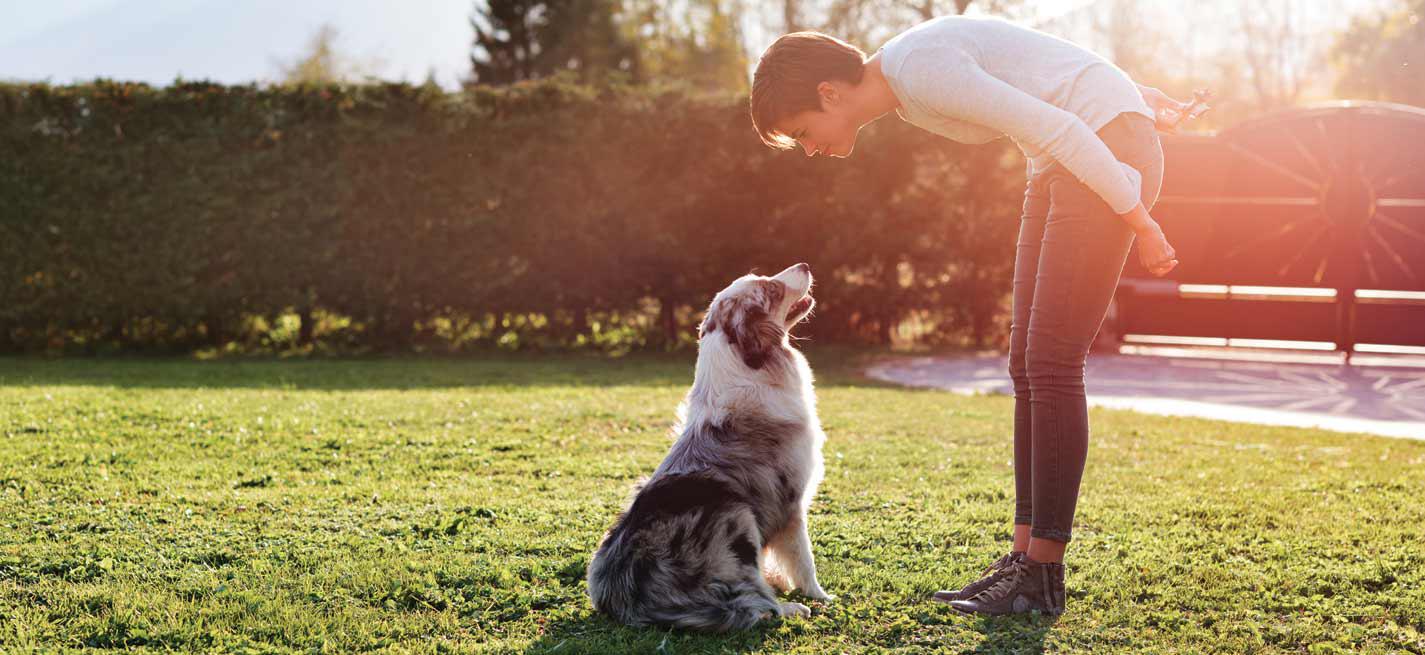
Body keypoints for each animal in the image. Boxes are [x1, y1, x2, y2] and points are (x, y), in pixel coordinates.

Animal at [589, 263, 832, 632]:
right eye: (771, 289)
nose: (804, 265)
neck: (746, 364)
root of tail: (626, 600)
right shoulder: (791, 501)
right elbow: (803, 558)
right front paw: (819, 595)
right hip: (736, 515)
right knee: (754, 602)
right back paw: (791, 608)